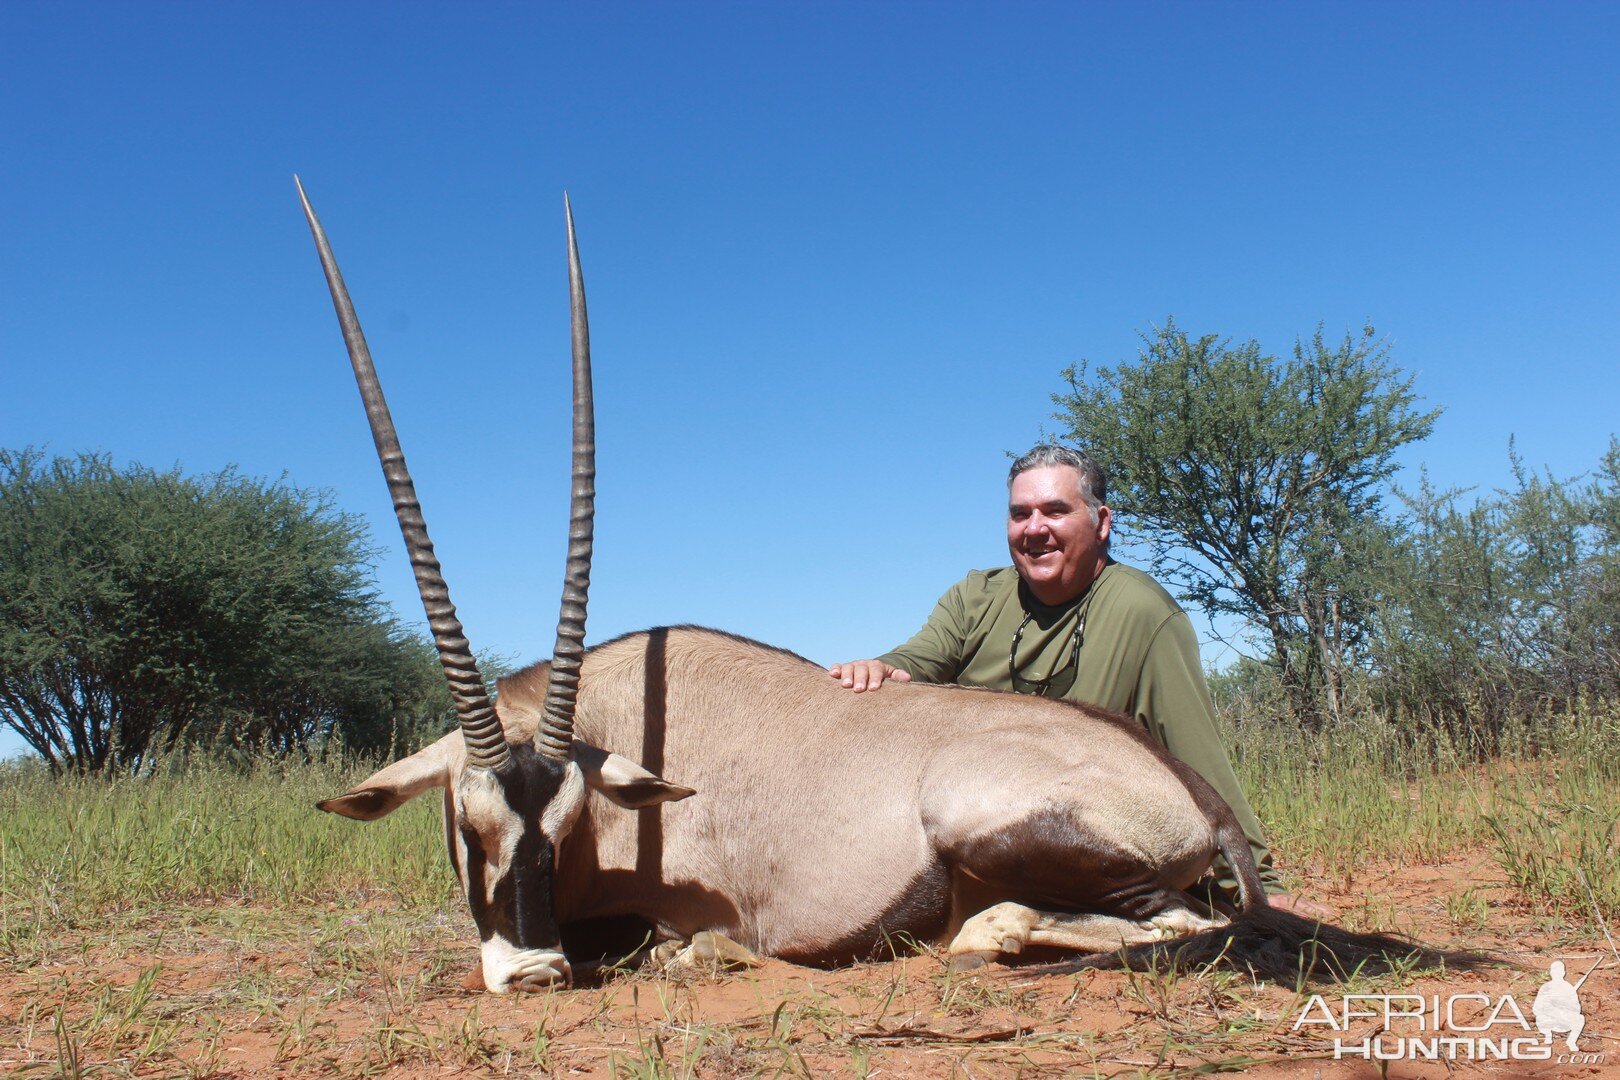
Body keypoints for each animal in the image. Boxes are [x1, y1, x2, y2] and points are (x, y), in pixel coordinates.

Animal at [294, 179, 1432, 997]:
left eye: (568, 827)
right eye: (470, 823)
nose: (533, 972)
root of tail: (1193, 792)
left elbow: (663, 936)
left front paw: (690, 951)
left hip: (997, 825)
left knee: (1166, 924)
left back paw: (982, 931)